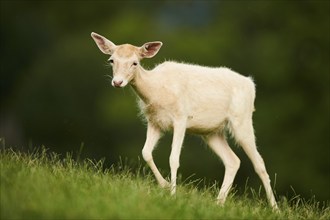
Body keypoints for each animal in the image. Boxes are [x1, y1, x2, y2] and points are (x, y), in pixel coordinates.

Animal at [91, 31, 278, 210]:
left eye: (135, 62)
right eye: (111, 60)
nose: (117, 82)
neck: (156, 90)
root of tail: (251, 84)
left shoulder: (181, 118)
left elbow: (173, 159)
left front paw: (173, 195)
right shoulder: (154, 122)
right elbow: (145, 152)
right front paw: (165, 185)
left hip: (242, 118)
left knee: (259, 163)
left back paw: (275, 209)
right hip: (212, 132)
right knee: (233, 160)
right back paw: (219, 203)